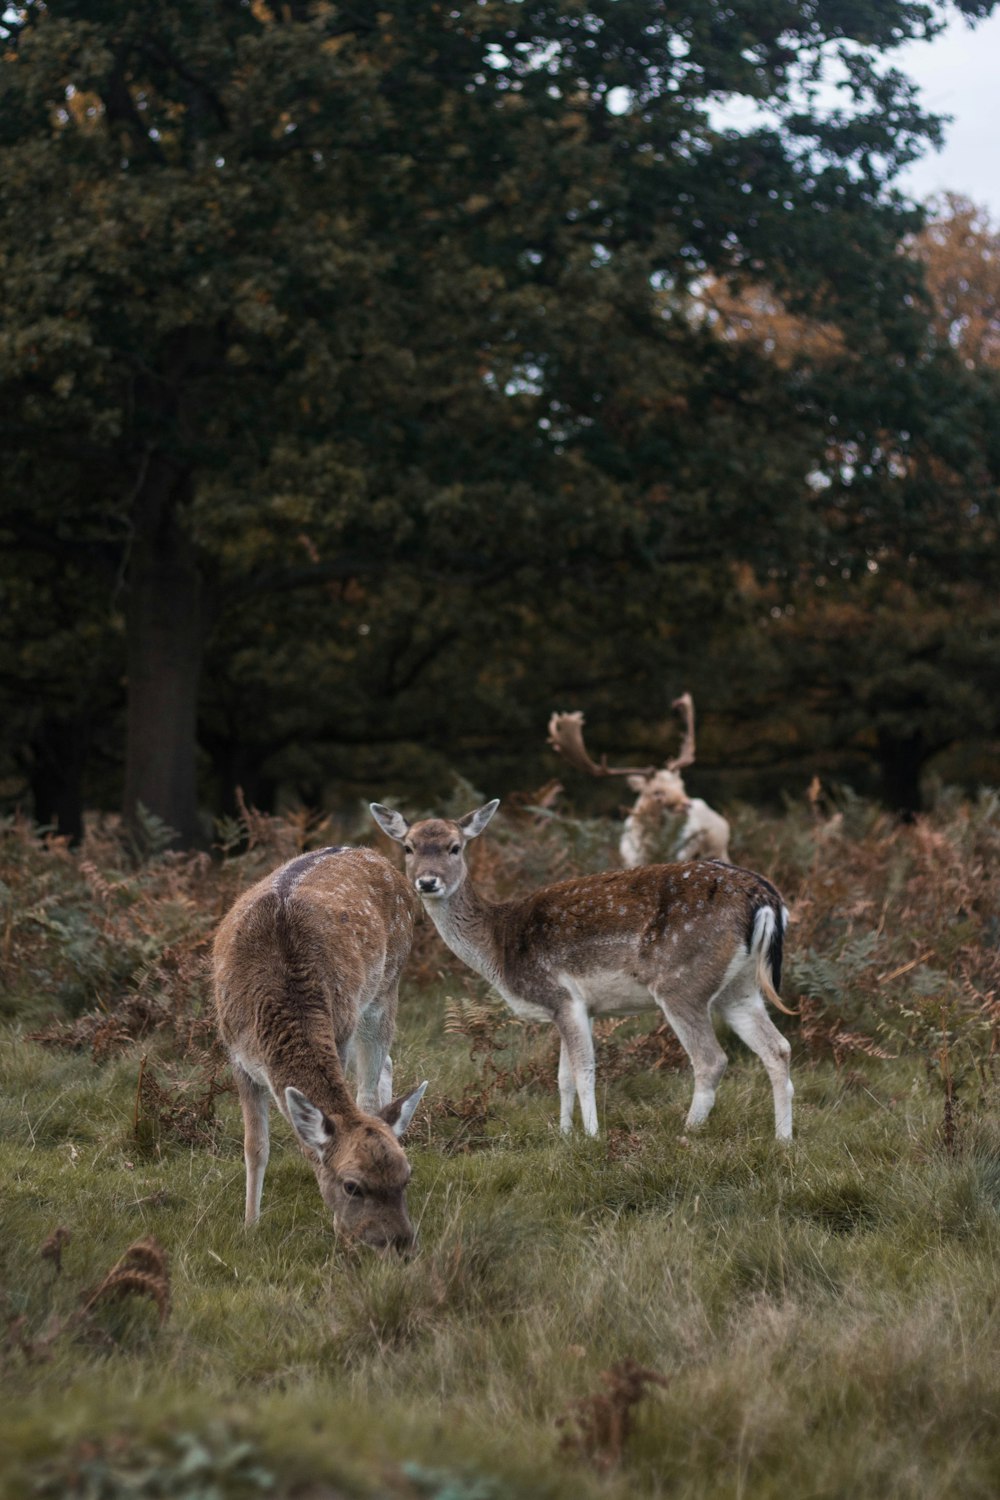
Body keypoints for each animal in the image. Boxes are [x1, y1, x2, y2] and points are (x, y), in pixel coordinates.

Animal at [215, 846, 425, 1254]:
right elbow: (255, 1146)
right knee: (385, 1066)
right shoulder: (237, 1055)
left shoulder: (338, 1035)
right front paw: (250, 1226)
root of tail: (375, 854)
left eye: (406, 1177)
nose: (399, 1243)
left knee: (368, 1089)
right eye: (352, 1186)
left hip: (386, 985)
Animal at [371, 804, 791, 1140]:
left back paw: (687, 1132)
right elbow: (563, 1078)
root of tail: (766, 898)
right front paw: (563, 1133)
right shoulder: (575, 1006)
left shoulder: (560, 994)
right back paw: (783, 1139)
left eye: (455, 847)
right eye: (408, 847)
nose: (427, 881)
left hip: (681, 982)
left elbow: (584, 1069)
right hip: (739, 988)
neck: (499, 947)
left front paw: (590, 1136)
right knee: (778, 1048)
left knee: (711, 1059)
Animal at [551, 693, 731, 870]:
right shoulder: (631, 861)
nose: (687, 804)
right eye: (657, 792)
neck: (650, 852)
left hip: (719, 847)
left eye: (682, 786)